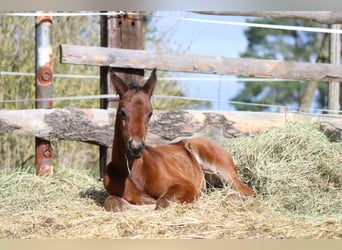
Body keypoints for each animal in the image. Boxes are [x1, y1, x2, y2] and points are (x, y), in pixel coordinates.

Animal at [102, 69, 254, 212]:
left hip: (224, 171)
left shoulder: (185, 185)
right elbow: (113, 202)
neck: (135, 171)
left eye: (150, 113)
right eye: (122, 112)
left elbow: (162, 202)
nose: (135, 147)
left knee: (248, 192)